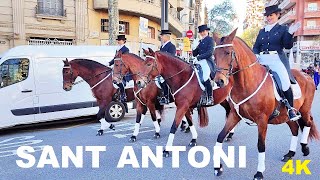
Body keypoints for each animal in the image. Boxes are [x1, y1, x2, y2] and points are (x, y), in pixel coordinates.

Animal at [211, 28, 318, 179]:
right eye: (214, 55)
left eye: (227, 52)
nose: (219, 81)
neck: (246, 84)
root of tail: (307, 75)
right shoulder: (234, 115)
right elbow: (220, 137)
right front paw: (217, 167)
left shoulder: (262, 120)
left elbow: (261, 146)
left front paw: (259, 172)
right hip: (286, 115)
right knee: (295, 129)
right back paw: (290, 154)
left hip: (304, 110)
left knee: (308, 123)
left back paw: (305, 148)